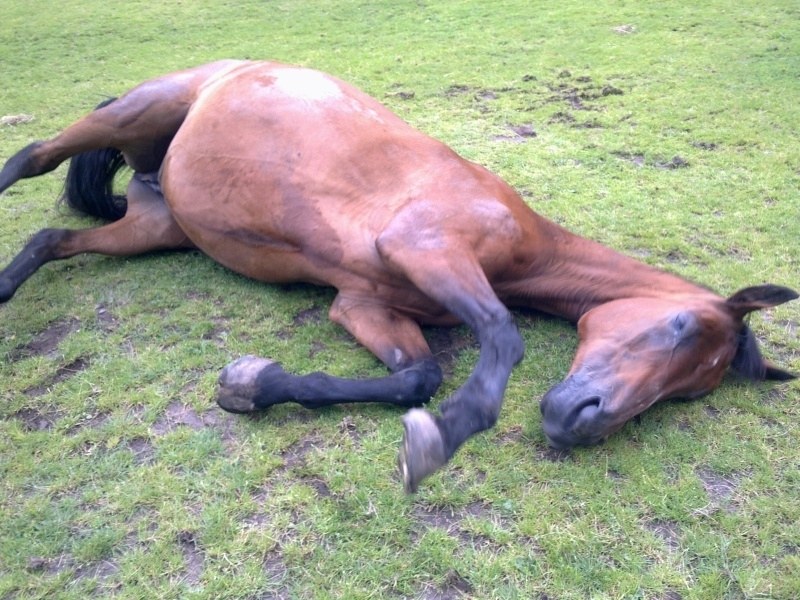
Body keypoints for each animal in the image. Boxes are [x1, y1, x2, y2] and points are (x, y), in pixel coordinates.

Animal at [1, 59, 792, 492]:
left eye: (687, 393)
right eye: (679, 324)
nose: (583, 425)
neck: (526, 247)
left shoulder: (362, 304)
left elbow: (415, 376)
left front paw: (251, 386)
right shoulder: (425, 245)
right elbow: (502, 337)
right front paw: (445, 437)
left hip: (156, 226)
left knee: (53, 238)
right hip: (137, 114)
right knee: (30, 157)